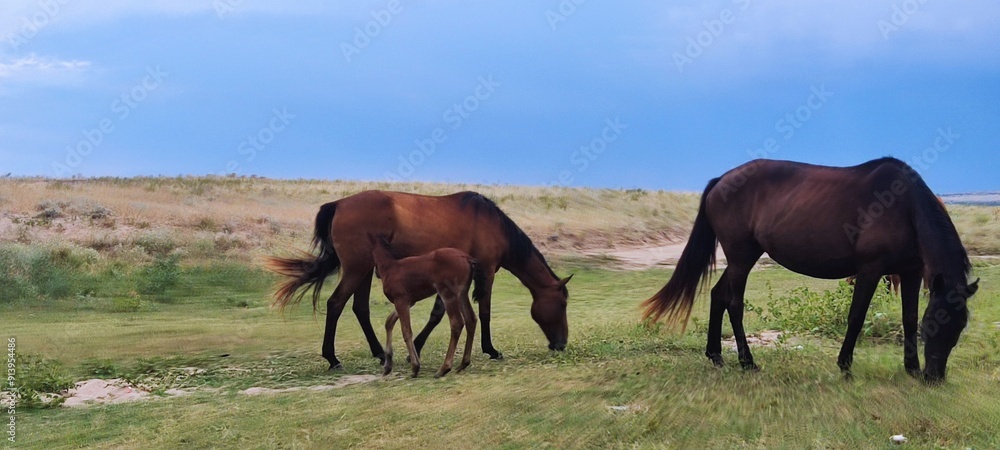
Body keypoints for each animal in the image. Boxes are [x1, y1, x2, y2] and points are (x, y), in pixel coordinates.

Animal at [371, 234, 482, 378]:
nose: (376, 273)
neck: (391, 267)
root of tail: (466, 257)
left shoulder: (401, 300)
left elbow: (406, 331)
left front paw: (415, 367)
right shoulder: (409, 301)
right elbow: (389, 322)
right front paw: (387, 365)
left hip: (447, 294)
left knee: (457, 322)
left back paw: (444, 368)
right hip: (462, 294)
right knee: (471, 319)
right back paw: (463, 363)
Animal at [642, 157, 978, 382]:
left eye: (959, 327)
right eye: (934, 323)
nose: (934, 377)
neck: (904, 207)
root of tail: (722, 179)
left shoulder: (910, 272)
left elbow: (908, 319)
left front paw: (911, 369)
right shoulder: (870, 270)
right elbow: (856, 318)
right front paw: (845, 367)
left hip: (743, 257)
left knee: (718, 295)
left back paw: (716, 356)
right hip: (741, 258)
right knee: (733, 303)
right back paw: (747, 362)